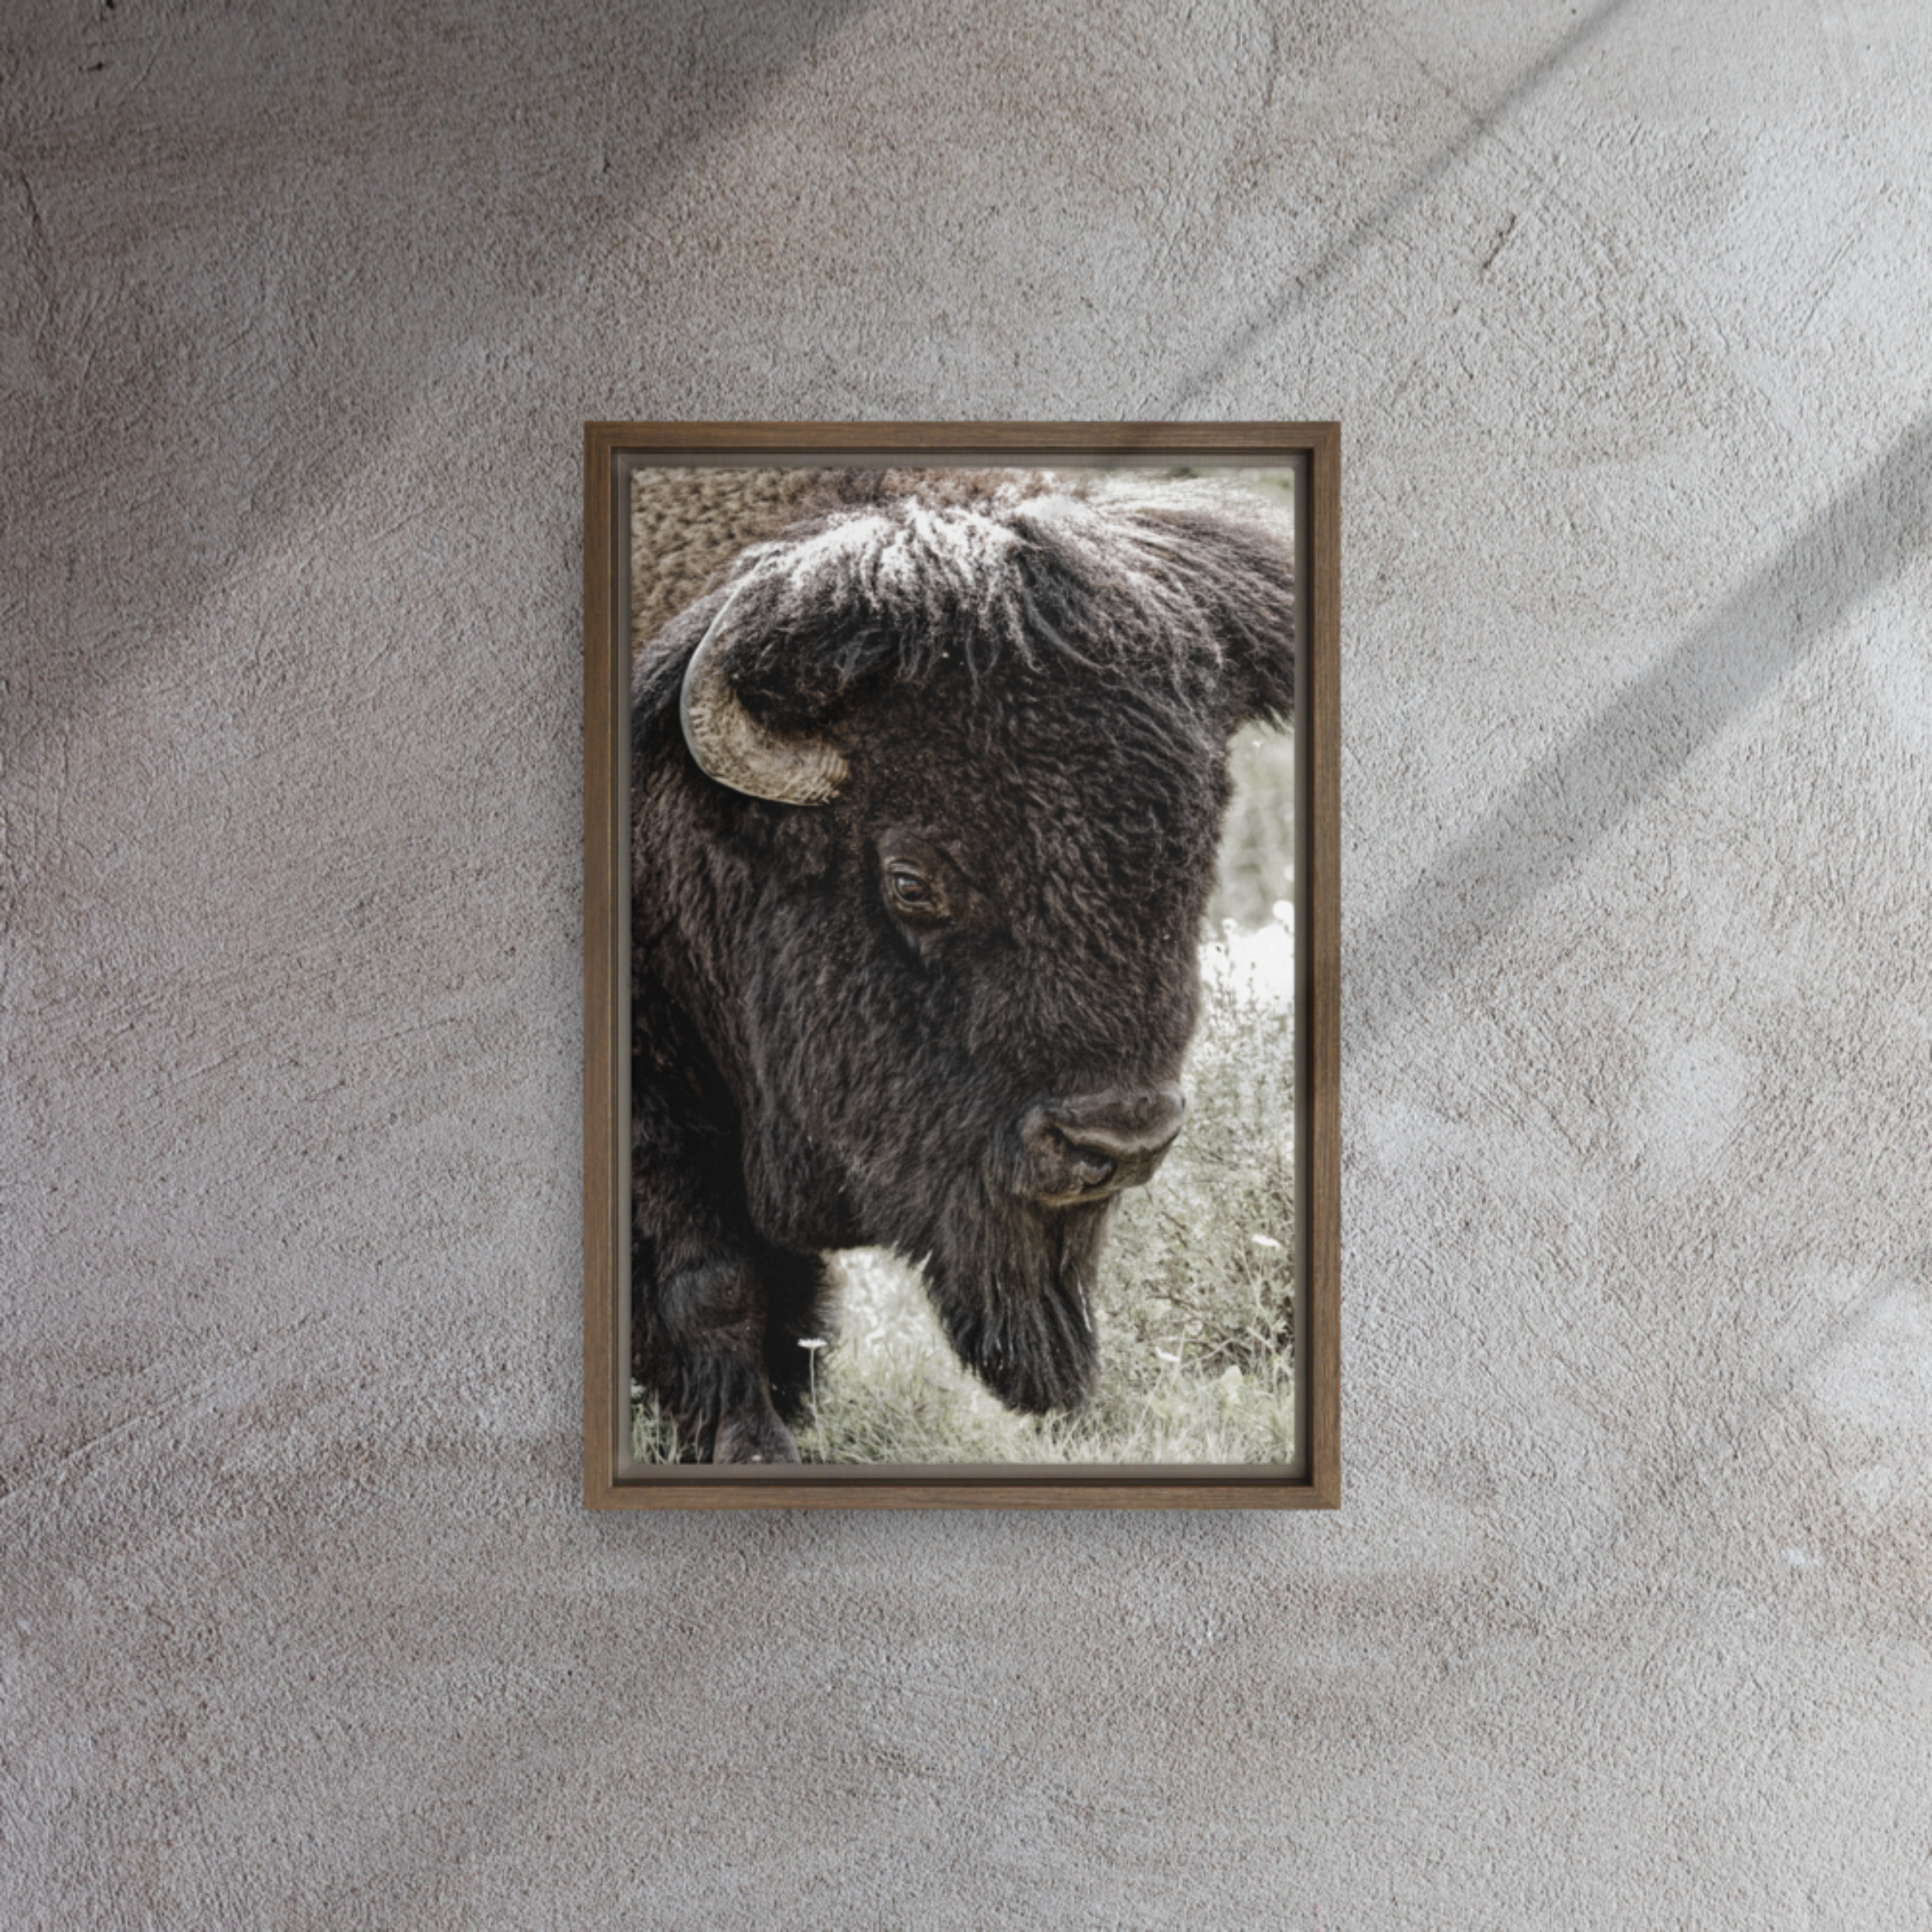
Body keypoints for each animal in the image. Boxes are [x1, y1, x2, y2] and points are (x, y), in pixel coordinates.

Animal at [629, 467, 1294, 1462]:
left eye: (1195, 858)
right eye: (911, 883)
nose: (1116, 1141)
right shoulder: (660, 1110)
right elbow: (713, 1280)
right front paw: (755, 1445)